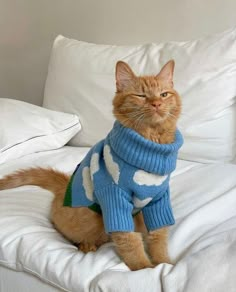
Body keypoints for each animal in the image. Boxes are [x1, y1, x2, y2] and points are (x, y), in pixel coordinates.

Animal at [0, 60, 183, 272]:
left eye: (164, 94)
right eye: (141, 96)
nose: (156, 103)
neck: (150, 147)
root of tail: (63, 187)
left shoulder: (159, 199)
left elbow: (158, 237)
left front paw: (164, 263)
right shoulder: (114, 199)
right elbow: (130, 241)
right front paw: (143, 268)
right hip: (88, 219)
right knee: (65, 230)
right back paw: (85, 244)